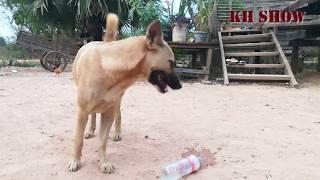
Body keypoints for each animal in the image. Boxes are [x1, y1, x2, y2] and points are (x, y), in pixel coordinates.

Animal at [67, 13, 182, 174]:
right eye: (171, 63)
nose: (180, 86)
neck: (109, 67)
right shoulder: (82, 111)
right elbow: (78, 140)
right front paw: (75, 161)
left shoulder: (108, 113)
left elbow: (102, 141)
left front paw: (103, 162)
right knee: (93, 115)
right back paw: (90, 130)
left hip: (117, 102)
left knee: (118, 114)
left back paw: (117, 133)